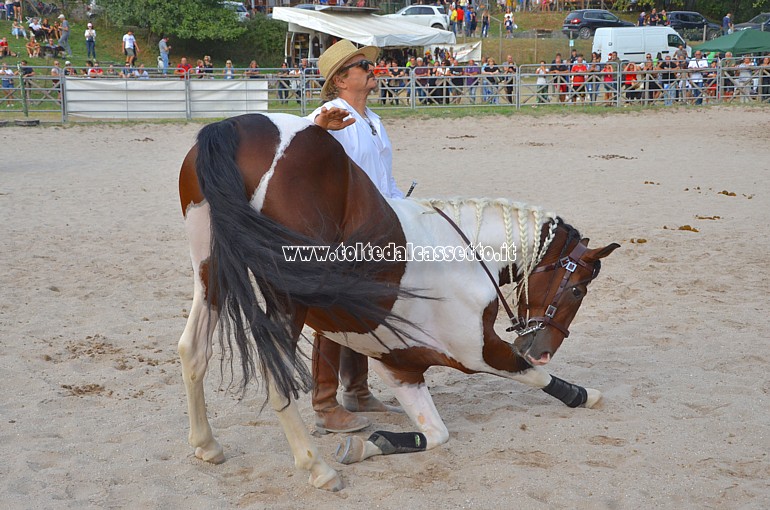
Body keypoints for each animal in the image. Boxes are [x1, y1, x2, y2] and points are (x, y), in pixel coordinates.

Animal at [176, 113, 616, 492]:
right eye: (577, 290)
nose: (542, 348)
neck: (465, 250)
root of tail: (233, 126)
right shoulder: (479, 352)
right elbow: (534, 376)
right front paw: (585, 395)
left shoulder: (401, 367)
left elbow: (435, 434)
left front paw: (372, 443)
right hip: (288, 299)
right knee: (276, 375)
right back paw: (317, 468)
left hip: (211, 272)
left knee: (193, 350)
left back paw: (207, 445)